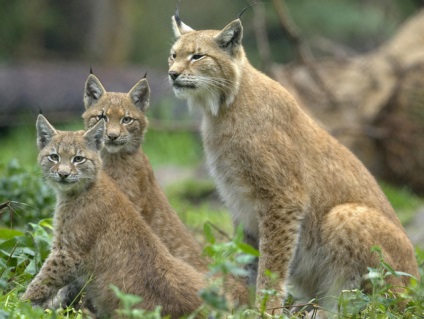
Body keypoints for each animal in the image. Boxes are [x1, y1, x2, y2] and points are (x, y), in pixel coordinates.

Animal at [22, 114, 206, 318]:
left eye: (78, 159)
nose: (63, 174)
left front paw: (20, 303)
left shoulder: (68, 252)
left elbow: (42, 280)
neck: (81, 189)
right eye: (54, 157)